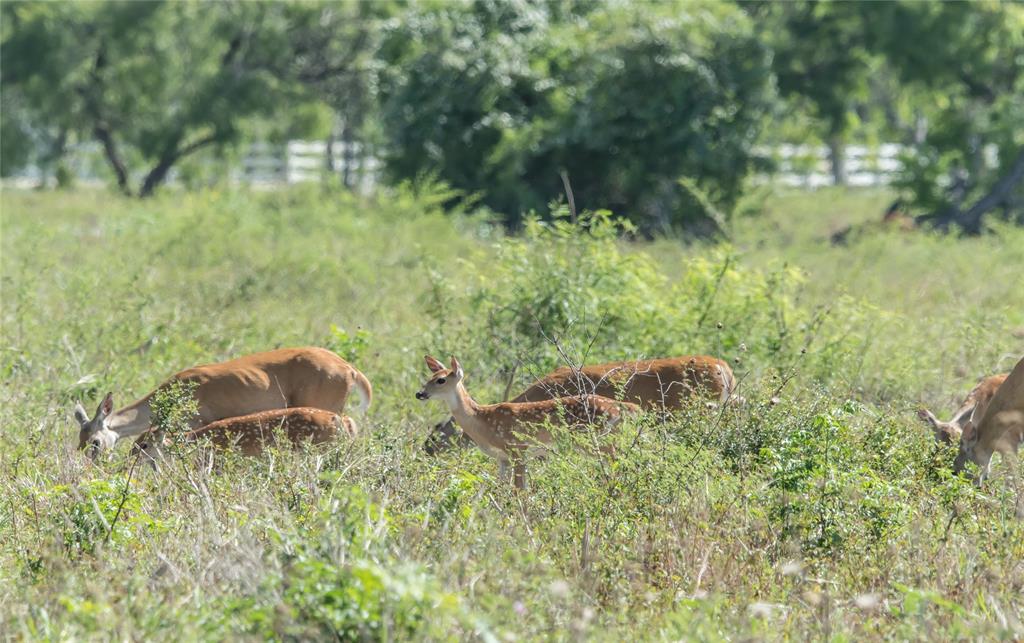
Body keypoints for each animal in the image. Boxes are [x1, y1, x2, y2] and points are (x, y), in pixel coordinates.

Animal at [415, 356, 638, 487]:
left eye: (441, 380)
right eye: (429, 377)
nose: (419, 394)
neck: (482, 421)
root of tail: (623, 407)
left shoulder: (518, 449)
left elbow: (519, 491)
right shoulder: (503, 458)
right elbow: (500, 488)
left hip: (597, 440)